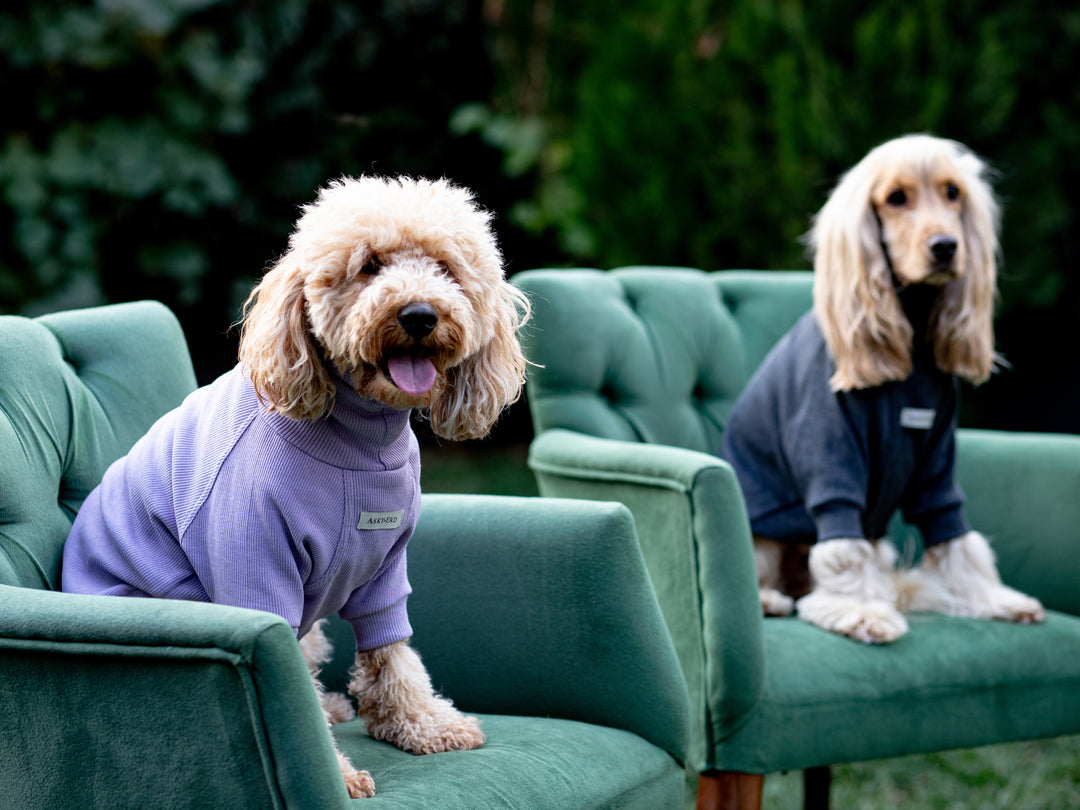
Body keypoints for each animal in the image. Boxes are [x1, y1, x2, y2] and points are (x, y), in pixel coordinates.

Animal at [62, 176, 527, 794]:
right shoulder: (254, 559)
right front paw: (336, 770)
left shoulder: (384, 564)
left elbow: (392, 650)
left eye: (446, 268)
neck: (361, 440)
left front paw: (422, 723)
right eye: (369, 265)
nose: (420, 315)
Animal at [721, 138, 1041, 648]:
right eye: (896, 198)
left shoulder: (937, 461)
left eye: (953, 192)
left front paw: (992, 598)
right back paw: (771, 600)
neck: (910, 324)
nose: (946, 247)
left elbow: (953, 532)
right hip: (762, 532)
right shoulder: (831, 458)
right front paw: (862, 612)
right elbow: (843, 548)